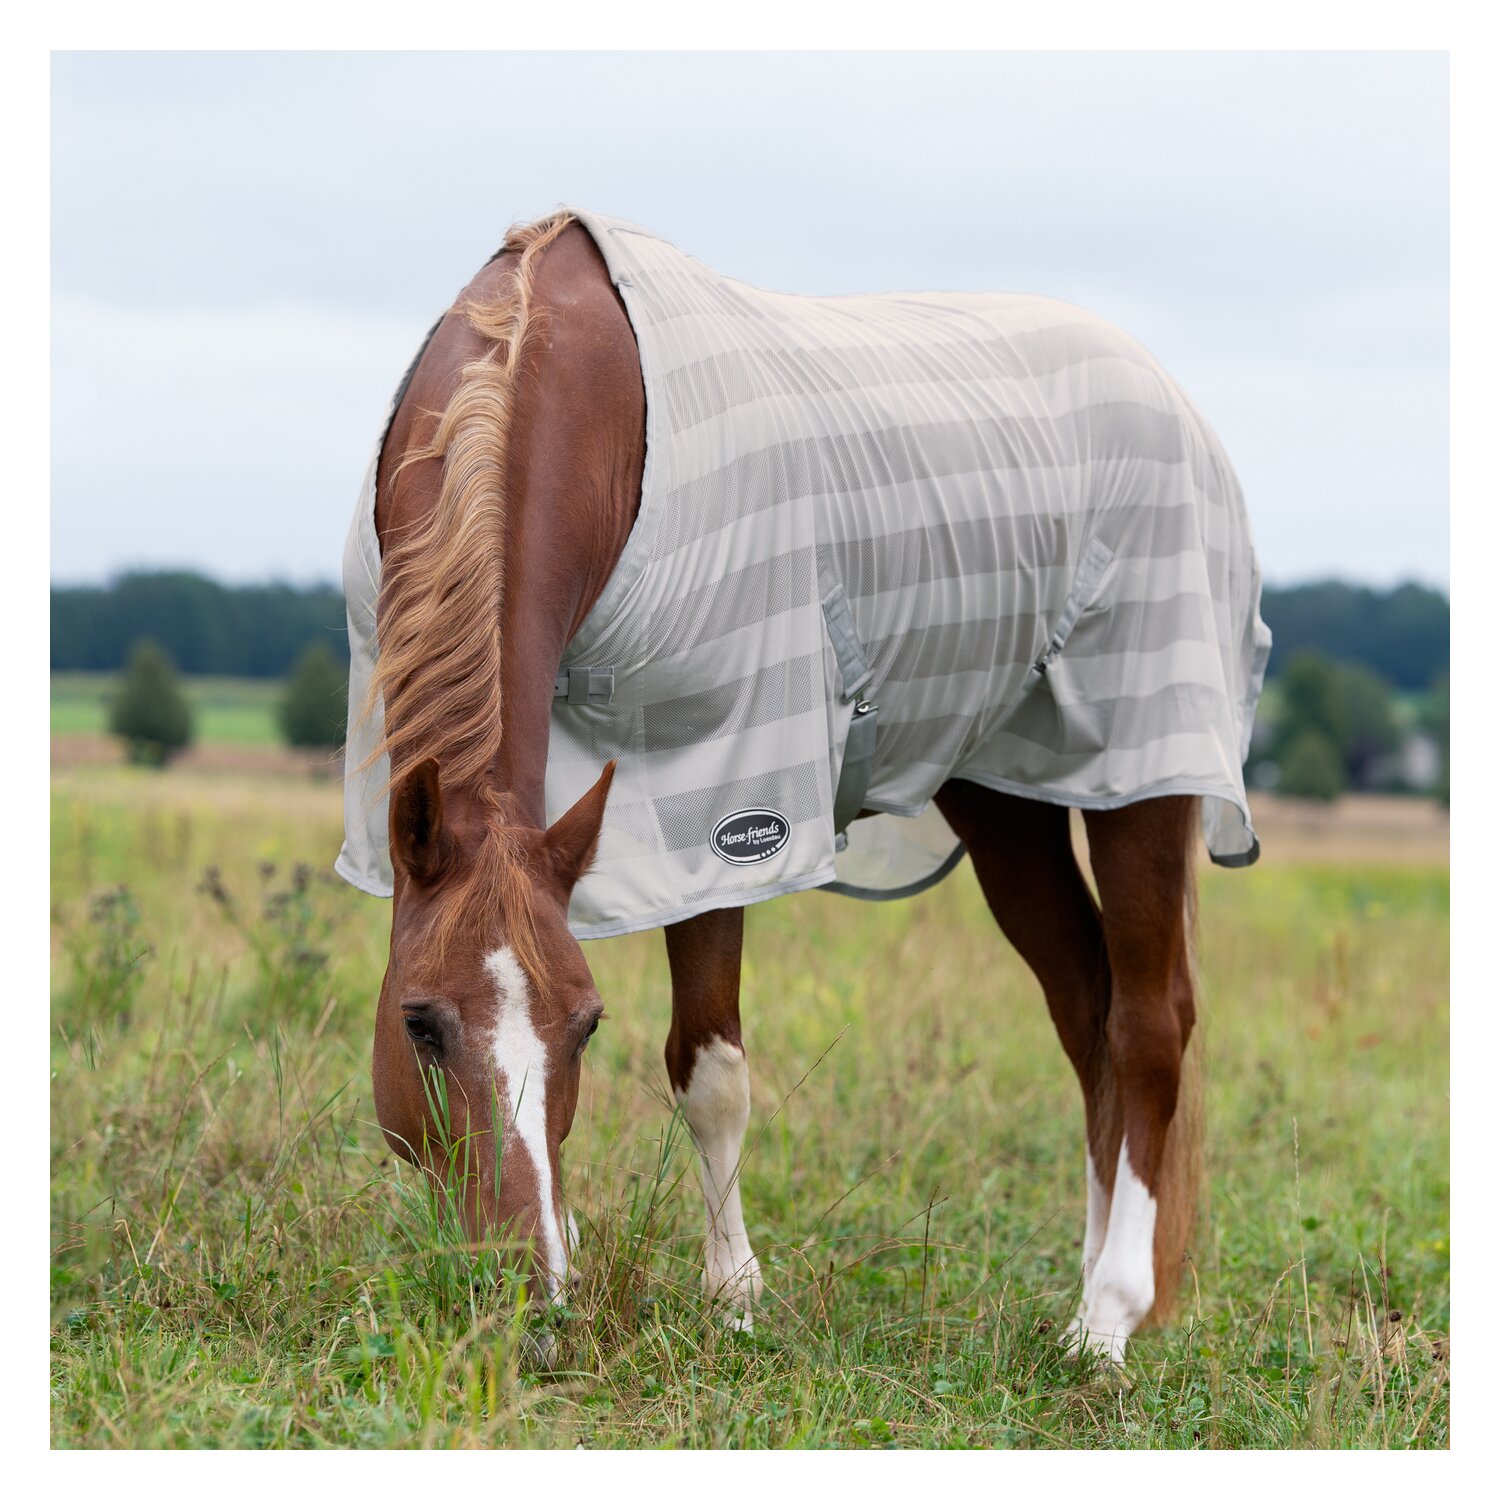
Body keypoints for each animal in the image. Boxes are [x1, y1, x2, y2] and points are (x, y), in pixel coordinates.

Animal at [340, 210, 1270, 1364]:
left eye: (587, 1026)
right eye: (420, 1023)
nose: (530, 1302)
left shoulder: (724, 797)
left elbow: (709, 1069)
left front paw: (733, 1295)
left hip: (1142, 772)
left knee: (1148, 1025)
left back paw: (1107, 1320)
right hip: (1004, 798)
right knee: (1085, 1008)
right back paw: (1088, 1279)